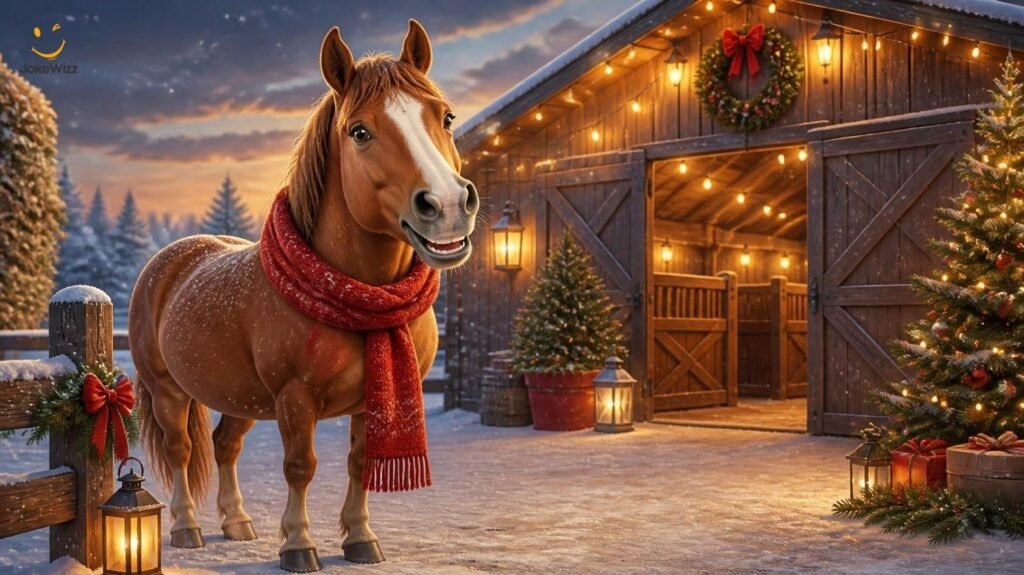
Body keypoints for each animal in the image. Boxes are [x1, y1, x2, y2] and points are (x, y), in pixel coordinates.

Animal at [128, 20, 478, 572]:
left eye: (445, 116)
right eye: (360, 131)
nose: (446, 206)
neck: (357, 295)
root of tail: (170, 261)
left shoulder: (369, 400)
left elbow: (359, 463)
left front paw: (360, 538)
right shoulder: (296, 398)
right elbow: (300, 467)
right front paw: (297, 544)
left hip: (240, 397)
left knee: (225, 447)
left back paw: (237, 522)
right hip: (168, 391)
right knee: (183, 450)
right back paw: (186, 528)